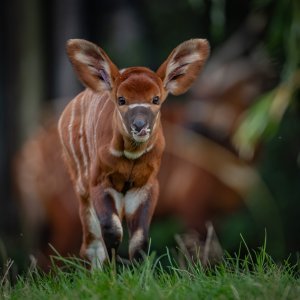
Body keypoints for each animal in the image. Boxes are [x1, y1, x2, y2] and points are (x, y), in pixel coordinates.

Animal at [58, 38, 209, 268]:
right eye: (121, 99)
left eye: (156, 99)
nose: (140, 126)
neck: (131, 157)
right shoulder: (99, 182)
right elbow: (112, 230)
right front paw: (111, 274)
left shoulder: (146, 185)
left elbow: (139, 238)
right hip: (81, 186)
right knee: (92, 243)